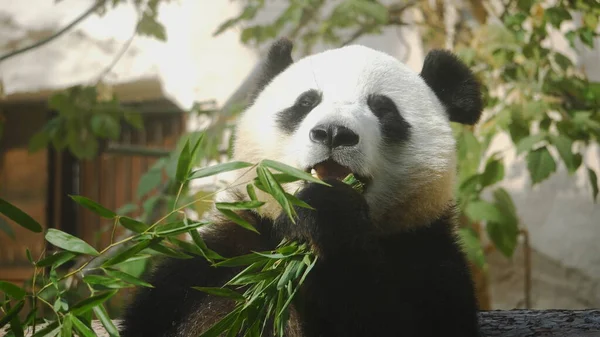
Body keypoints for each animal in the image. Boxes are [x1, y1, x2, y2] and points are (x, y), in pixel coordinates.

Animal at [119, 38, 486, 334]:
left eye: (383, 108)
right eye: (306, 102)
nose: (334, 133)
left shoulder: (425, 256)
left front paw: (328, 212)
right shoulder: (216, 263)